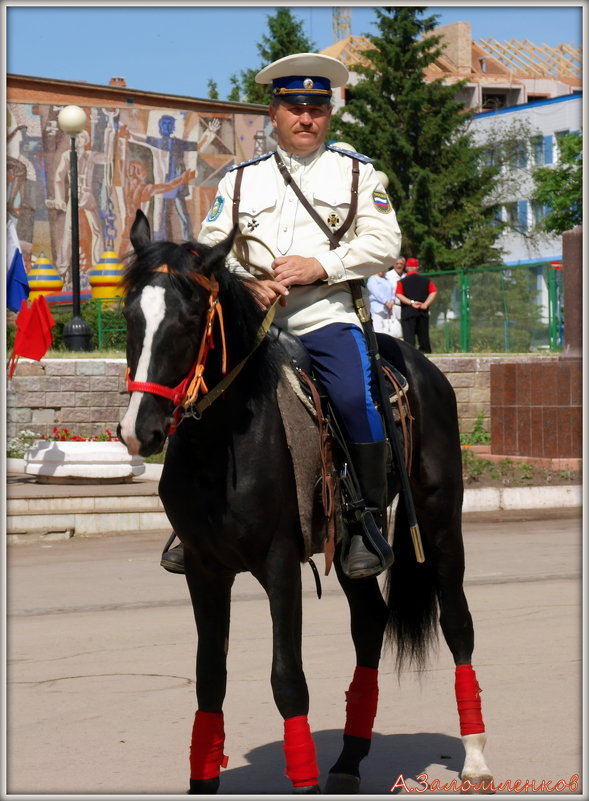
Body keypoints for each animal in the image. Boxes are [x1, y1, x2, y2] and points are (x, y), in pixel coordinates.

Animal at [118, 209, 492, 792]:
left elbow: (287, 680)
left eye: (189, 319)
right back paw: (349, 759)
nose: (140, 432)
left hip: (438, 522)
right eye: (131, 315)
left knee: (456, 620)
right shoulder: (204, 569)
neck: (222, 444)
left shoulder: (279, 565)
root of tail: (416, 360)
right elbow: (209, 678)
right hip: (350, 547)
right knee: (370, 621)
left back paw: (475, 757)